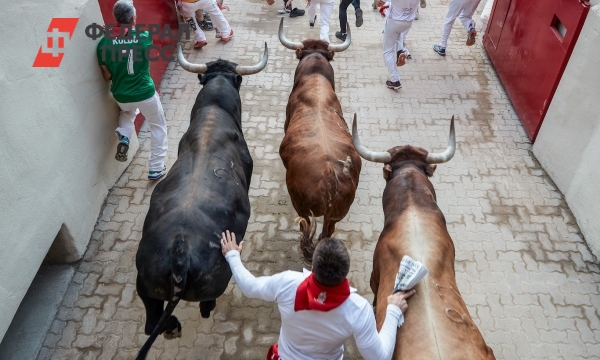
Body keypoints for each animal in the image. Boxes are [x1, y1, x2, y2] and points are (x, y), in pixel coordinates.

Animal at [136, 43, 270, 358]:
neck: (214, 111)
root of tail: (179, 252)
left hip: (144, 284)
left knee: (151, 323)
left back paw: (171, 327)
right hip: (215, 281)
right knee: (206, 306)